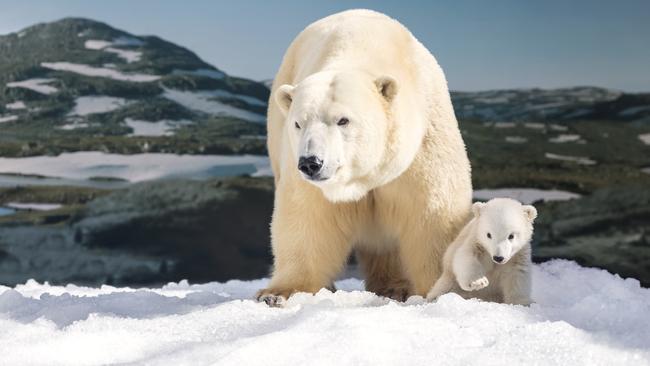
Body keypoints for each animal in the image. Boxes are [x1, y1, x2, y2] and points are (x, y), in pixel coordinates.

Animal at [256, 10, 470, 304]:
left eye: (343, 120)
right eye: (299, 123)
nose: (311, 163)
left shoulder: (423, 143)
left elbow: (434, 214)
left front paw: (447, 288)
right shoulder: (300, 168)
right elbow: (306, 217)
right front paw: (278, 293)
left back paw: (395, 286)